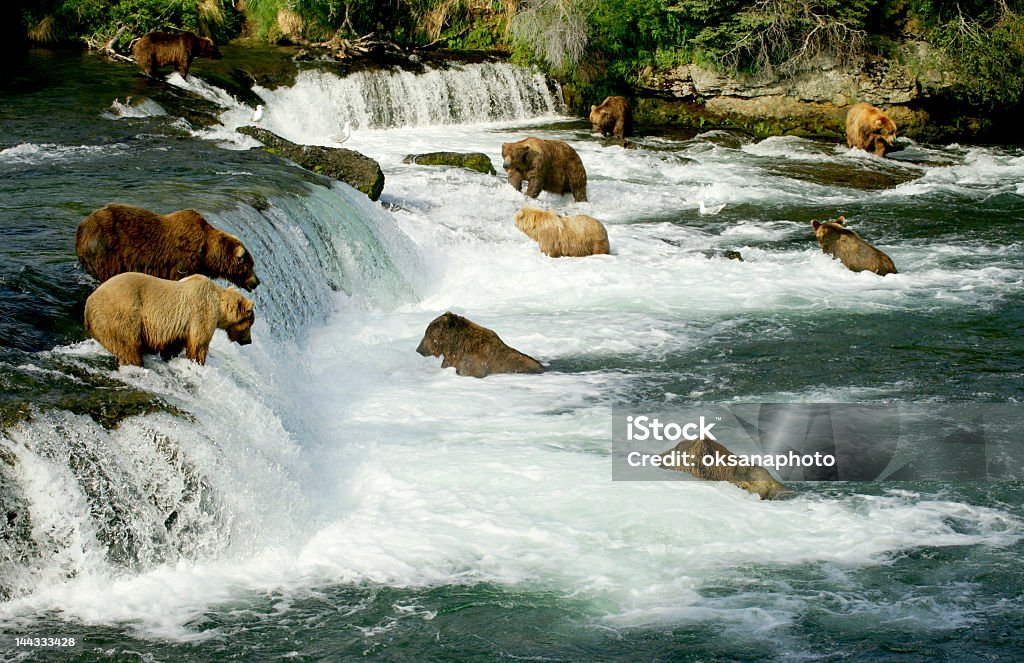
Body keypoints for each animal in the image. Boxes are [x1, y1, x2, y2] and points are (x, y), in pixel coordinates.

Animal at [76, 203, 260, 291]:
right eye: (250, 265)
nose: (257, 282)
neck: (206, 253)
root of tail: (83, 225)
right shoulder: (182, 260)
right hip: (107, 249)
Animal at [86, 274, 258, 370]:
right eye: (250, 324)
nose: (249, 341)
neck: (219, 304)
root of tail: (88, 304)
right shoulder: (201, 312)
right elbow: (199, 344)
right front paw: (197, 362)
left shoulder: (181, 326)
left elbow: (174, 344)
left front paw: (169, 356)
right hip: (122, 314)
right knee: (128, 345)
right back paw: (136, 363)